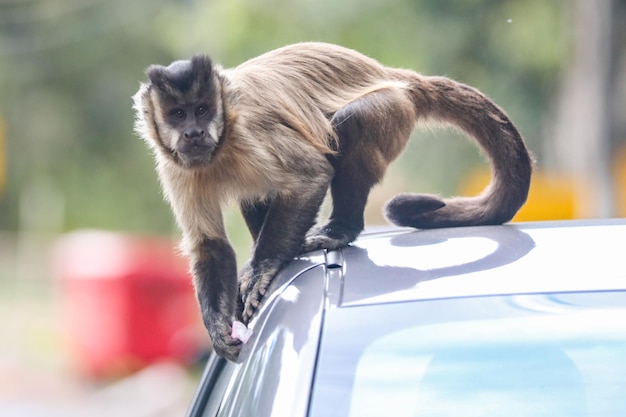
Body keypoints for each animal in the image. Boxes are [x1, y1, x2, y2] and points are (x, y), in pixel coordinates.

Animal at [132, 43, 532, 360]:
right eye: (178, 114)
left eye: (201, 110)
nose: (194, 132)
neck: (222, 143)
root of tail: (394, 75)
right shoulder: (175, 167)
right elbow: (209, 245)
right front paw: (218, 325)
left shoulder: (250, 133)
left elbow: (311, 176)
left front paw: (265, 268)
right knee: (256, 190)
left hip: (392, 109)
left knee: (353, 121)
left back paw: (339, 231)